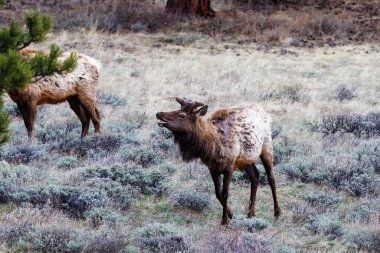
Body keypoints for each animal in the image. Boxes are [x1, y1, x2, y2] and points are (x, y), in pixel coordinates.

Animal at [156, 97, 280, 225]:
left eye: (182, 115)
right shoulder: (213, 168)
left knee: (271, 178)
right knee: (255, 176)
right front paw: (231, 215)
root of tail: (265, 113)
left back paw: (276, 213)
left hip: (267, 147)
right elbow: (218, 193)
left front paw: (224, 220)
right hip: (246, 159)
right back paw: (250, 213)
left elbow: (225, 193)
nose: (159, 113)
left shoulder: (229, 167)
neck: (211, 147)